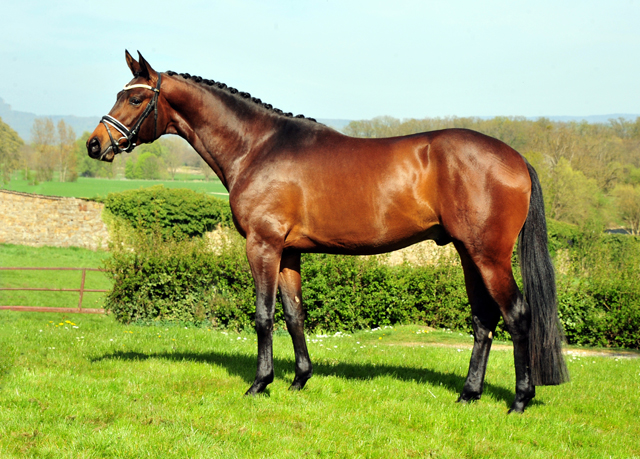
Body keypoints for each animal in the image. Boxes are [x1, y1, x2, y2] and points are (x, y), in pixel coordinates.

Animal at [86, 50, 568, 414]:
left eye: (135, 99)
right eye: (120, 94)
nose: (95, 144)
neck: (258, 147)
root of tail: (516, 158)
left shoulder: (262, 245)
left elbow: (263, 316)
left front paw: (259, 384)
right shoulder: (288, 252)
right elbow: (294, 314)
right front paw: (299, 380)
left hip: (489, 256)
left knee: (517, 315)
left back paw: (520, 400)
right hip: (469, 254)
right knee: (484, 320)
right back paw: (469, 394)